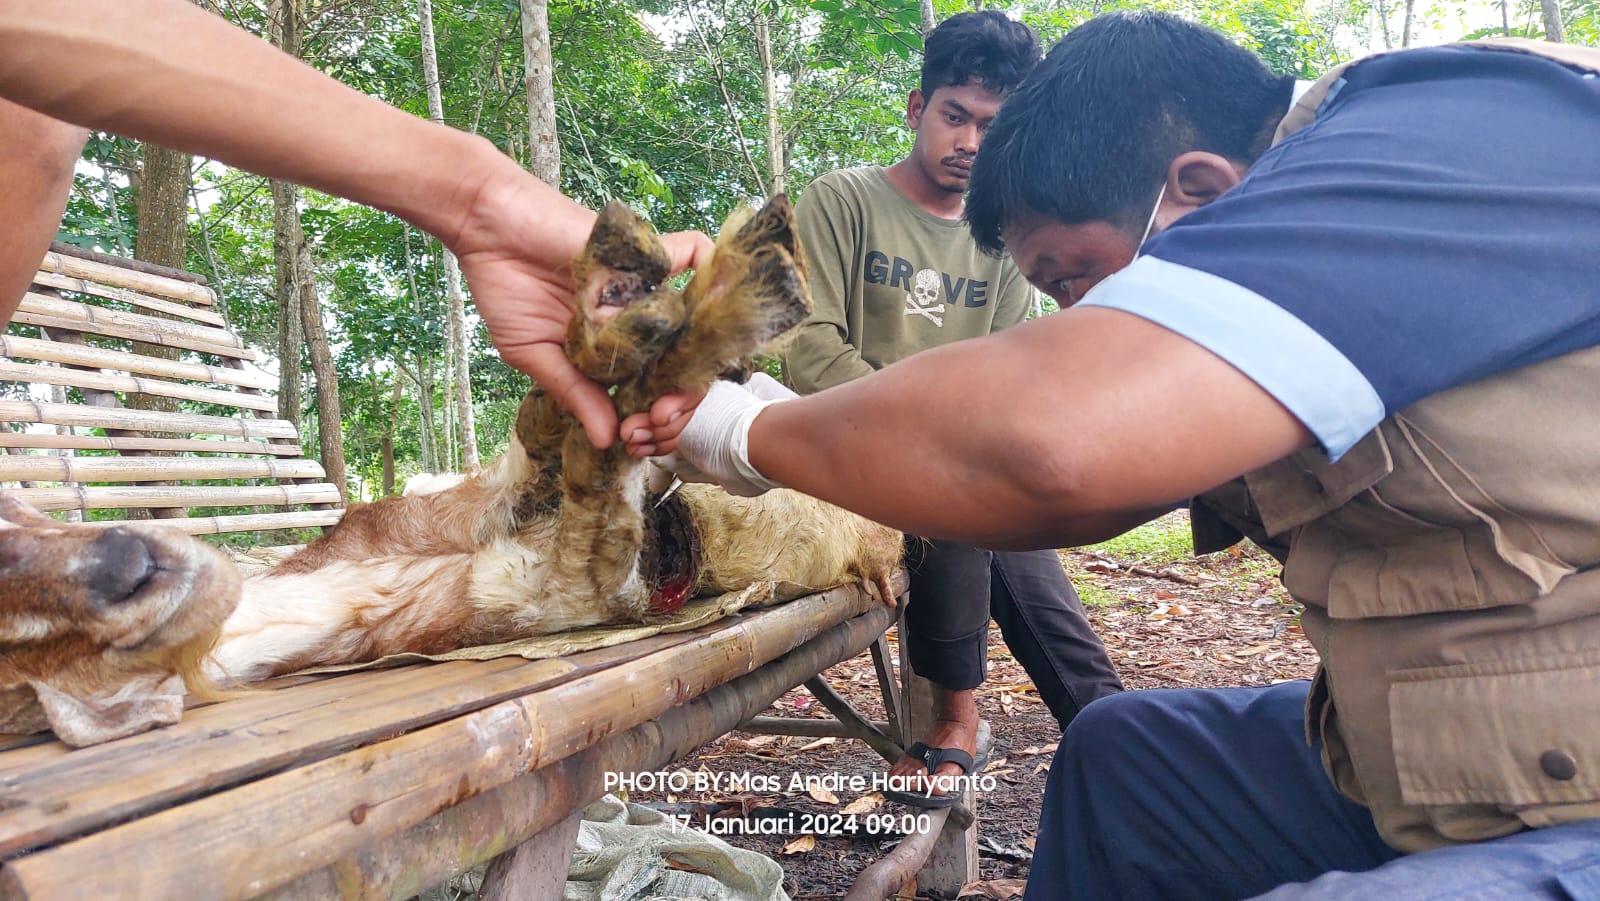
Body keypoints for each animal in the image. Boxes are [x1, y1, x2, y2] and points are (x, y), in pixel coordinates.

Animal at [0, 199, 902, 748]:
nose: (124, 558)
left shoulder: (492, 494)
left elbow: (560, 406)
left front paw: (642, 292)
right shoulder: (579, 573)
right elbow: (597, 453)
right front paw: (720, 300)